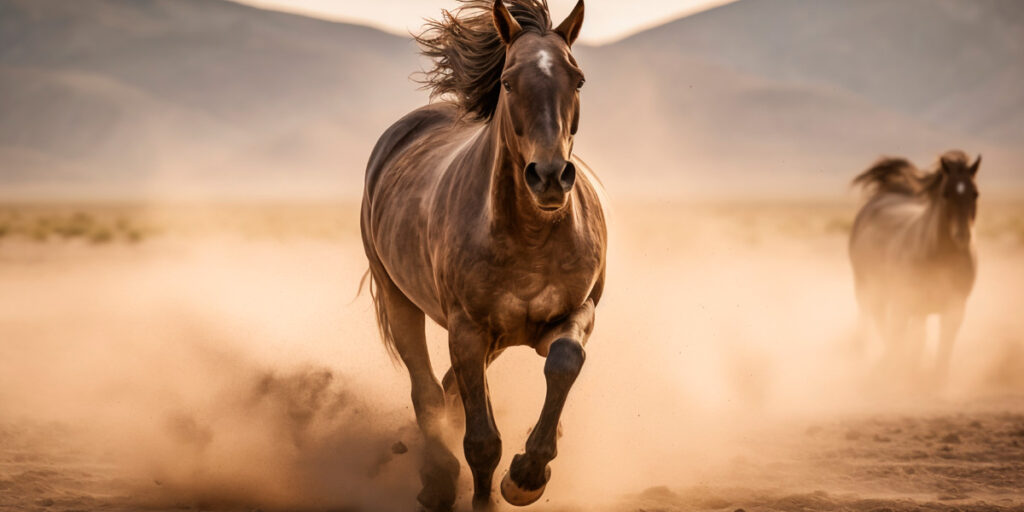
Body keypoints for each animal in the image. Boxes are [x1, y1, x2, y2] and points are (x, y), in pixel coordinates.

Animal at [359, 1, 605, 509]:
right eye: (508, 81)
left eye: (578, 79)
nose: (549, 177)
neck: (530, 236)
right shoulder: (467, 329)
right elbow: (481, 440)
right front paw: (493, 492)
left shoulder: (574, 313)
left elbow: (565, 360)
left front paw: (529, 474)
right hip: (400, 299)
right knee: (428, 393)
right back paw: (436, 481)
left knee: (448, 389)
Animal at [849, 150, 981, 382]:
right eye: (946, 193)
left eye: (975, 194)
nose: (962, 236)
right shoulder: (917, 303)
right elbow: (917, 339)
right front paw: (911, 372)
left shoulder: (955, 307)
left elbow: (945, 343)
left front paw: (938, 378)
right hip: (868, 287)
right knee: (879, 320)